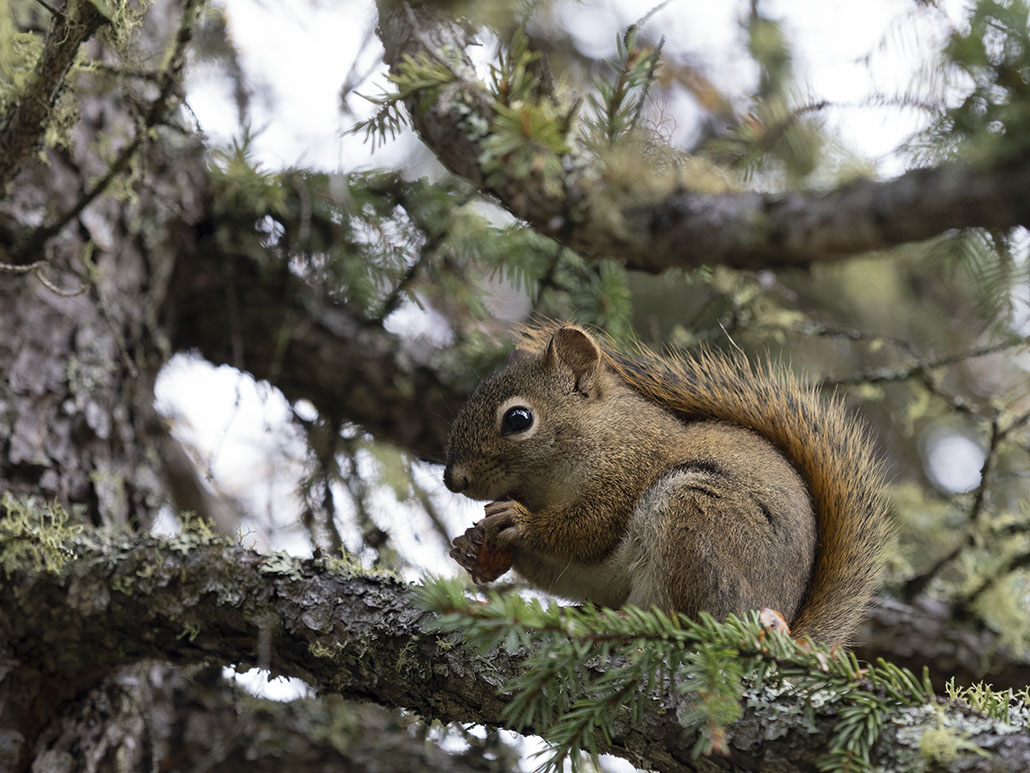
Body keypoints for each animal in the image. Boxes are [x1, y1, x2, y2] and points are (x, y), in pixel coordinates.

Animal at [440, 323, 885, 643]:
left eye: (519, 419)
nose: (453, 479)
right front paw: (476, 549)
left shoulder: (627, 469)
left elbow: (588, 531)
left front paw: (519, 521)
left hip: (698, 520)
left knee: (686, 619)